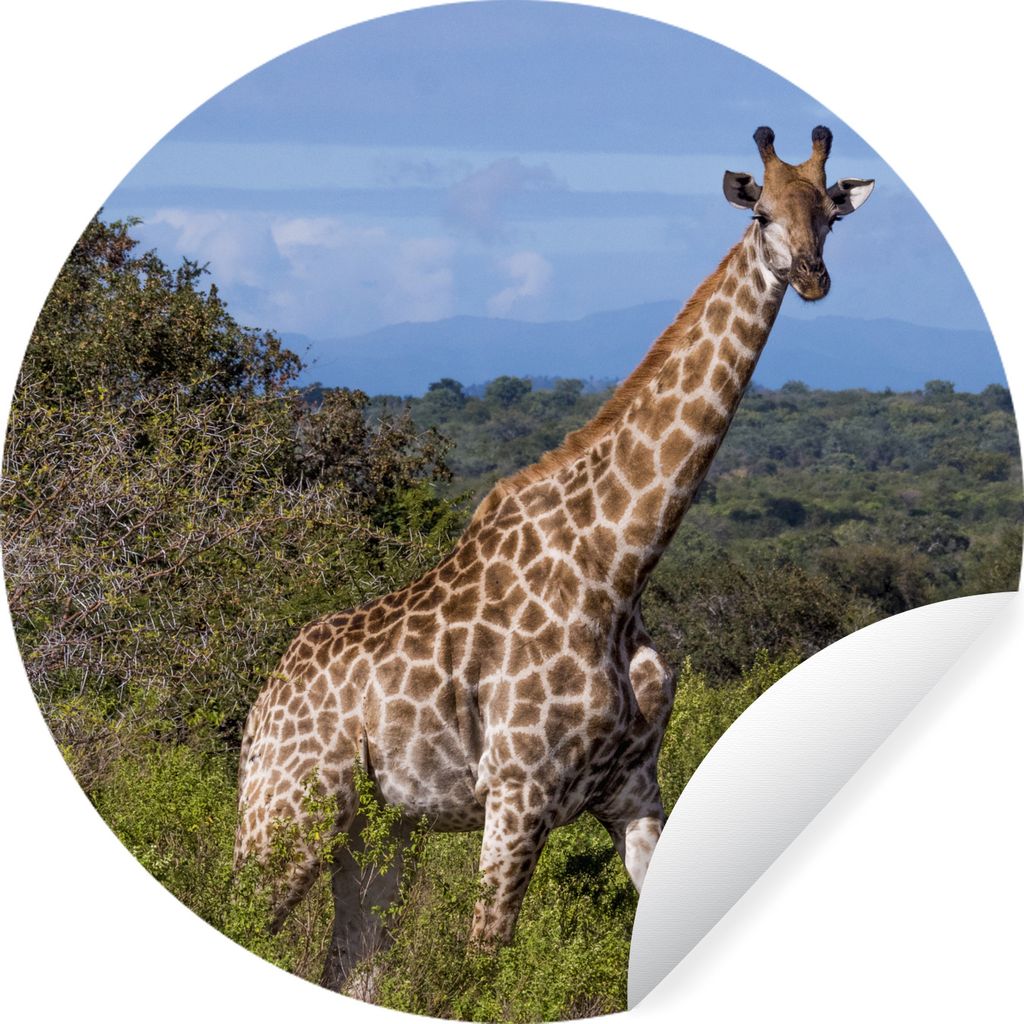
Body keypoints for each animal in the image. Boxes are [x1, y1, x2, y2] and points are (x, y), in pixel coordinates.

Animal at [234, 126, 874, 991]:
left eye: (831, 217)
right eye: (762, 214)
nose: (810, 276)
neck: (620, 566)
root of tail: (261, 708)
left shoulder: (633, 787)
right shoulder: (519, 789)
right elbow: (483, 965)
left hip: (379, 830)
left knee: (350, 961)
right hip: (290, 811)